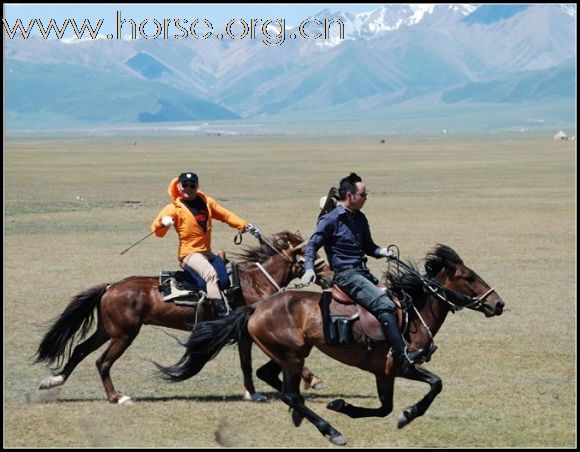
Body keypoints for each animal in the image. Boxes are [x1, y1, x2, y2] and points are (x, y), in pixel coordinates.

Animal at [34, 231, 328, 404]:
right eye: (310, 254)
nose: (329, 272)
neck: (254, 281)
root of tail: (110, 287)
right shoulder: (248, 331)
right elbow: (265, 359)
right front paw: (312, 378)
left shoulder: (243, 334)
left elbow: (246, 363)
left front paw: (251, 392)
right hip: (124, 334)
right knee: (102, 362)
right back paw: (116, 397)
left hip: (107, 331)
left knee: (81, 350)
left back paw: (54, 380)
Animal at [156, 244, 506, 444]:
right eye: (468, 277)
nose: (498, 304)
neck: (412, 311)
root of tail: (255, 307)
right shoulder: (403, 365)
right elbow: (435, 385)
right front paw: (408, 414)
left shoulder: (383, 373)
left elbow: (384, 408)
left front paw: (344, 406)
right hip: (293, 355)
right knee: (289, 393)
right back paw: (330, 431)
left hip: (292, 351)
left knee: (270, 378)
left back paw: (303, 415)